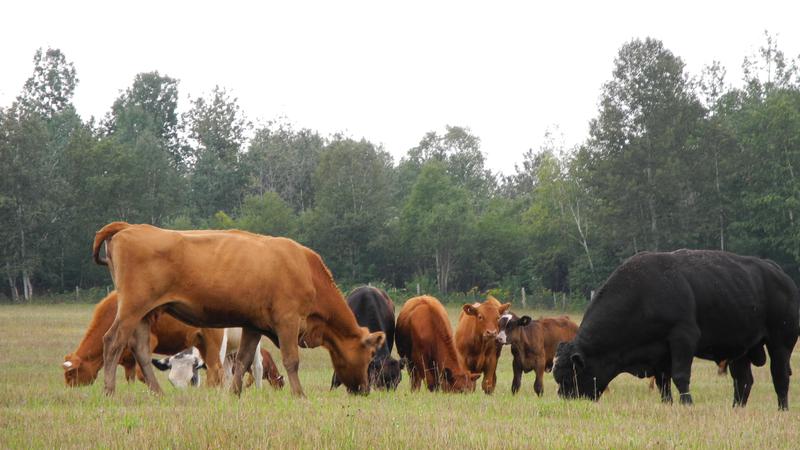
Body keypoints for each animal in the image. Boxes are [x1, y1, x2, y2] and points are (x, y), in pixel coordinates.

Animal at [61, 290, 225, 388]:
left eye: (70, 374)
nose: (71, 389)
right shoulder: (127, 359)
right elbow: (131, 378)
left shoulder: (149, 342)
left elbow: (142, 374)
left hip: (212, 343)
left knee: (216, 369)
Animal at [90, 223, 384, 396]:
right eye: (370, 356)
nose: (364, 390)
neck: (306, 270)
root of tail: (129, 227)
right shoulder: (288, 321)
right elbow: (291, 359)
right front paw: (299, 395)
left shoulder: (253, 326)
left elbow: (242, 361)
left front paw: (234, 393)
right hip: (132, 308)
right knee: (112, 341)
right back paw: (109, 390)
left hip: (144, 313)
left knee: (139, 348)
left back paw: (158, 393)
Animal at [552, 250, 796, 412]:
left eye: (570, 376)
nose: (565, 398)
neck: (643, 296)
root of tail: (780, 275)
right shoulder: (659, 351)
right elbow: (663, 380)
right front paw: (667, 403)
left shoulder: (683, 338)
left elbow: (680, 375)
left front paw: (687, 403)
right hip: (741, 350)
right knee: (743, 379)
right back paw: (736, 408)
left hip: (780, 343)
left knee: (779, 375)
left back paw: (782, 408)